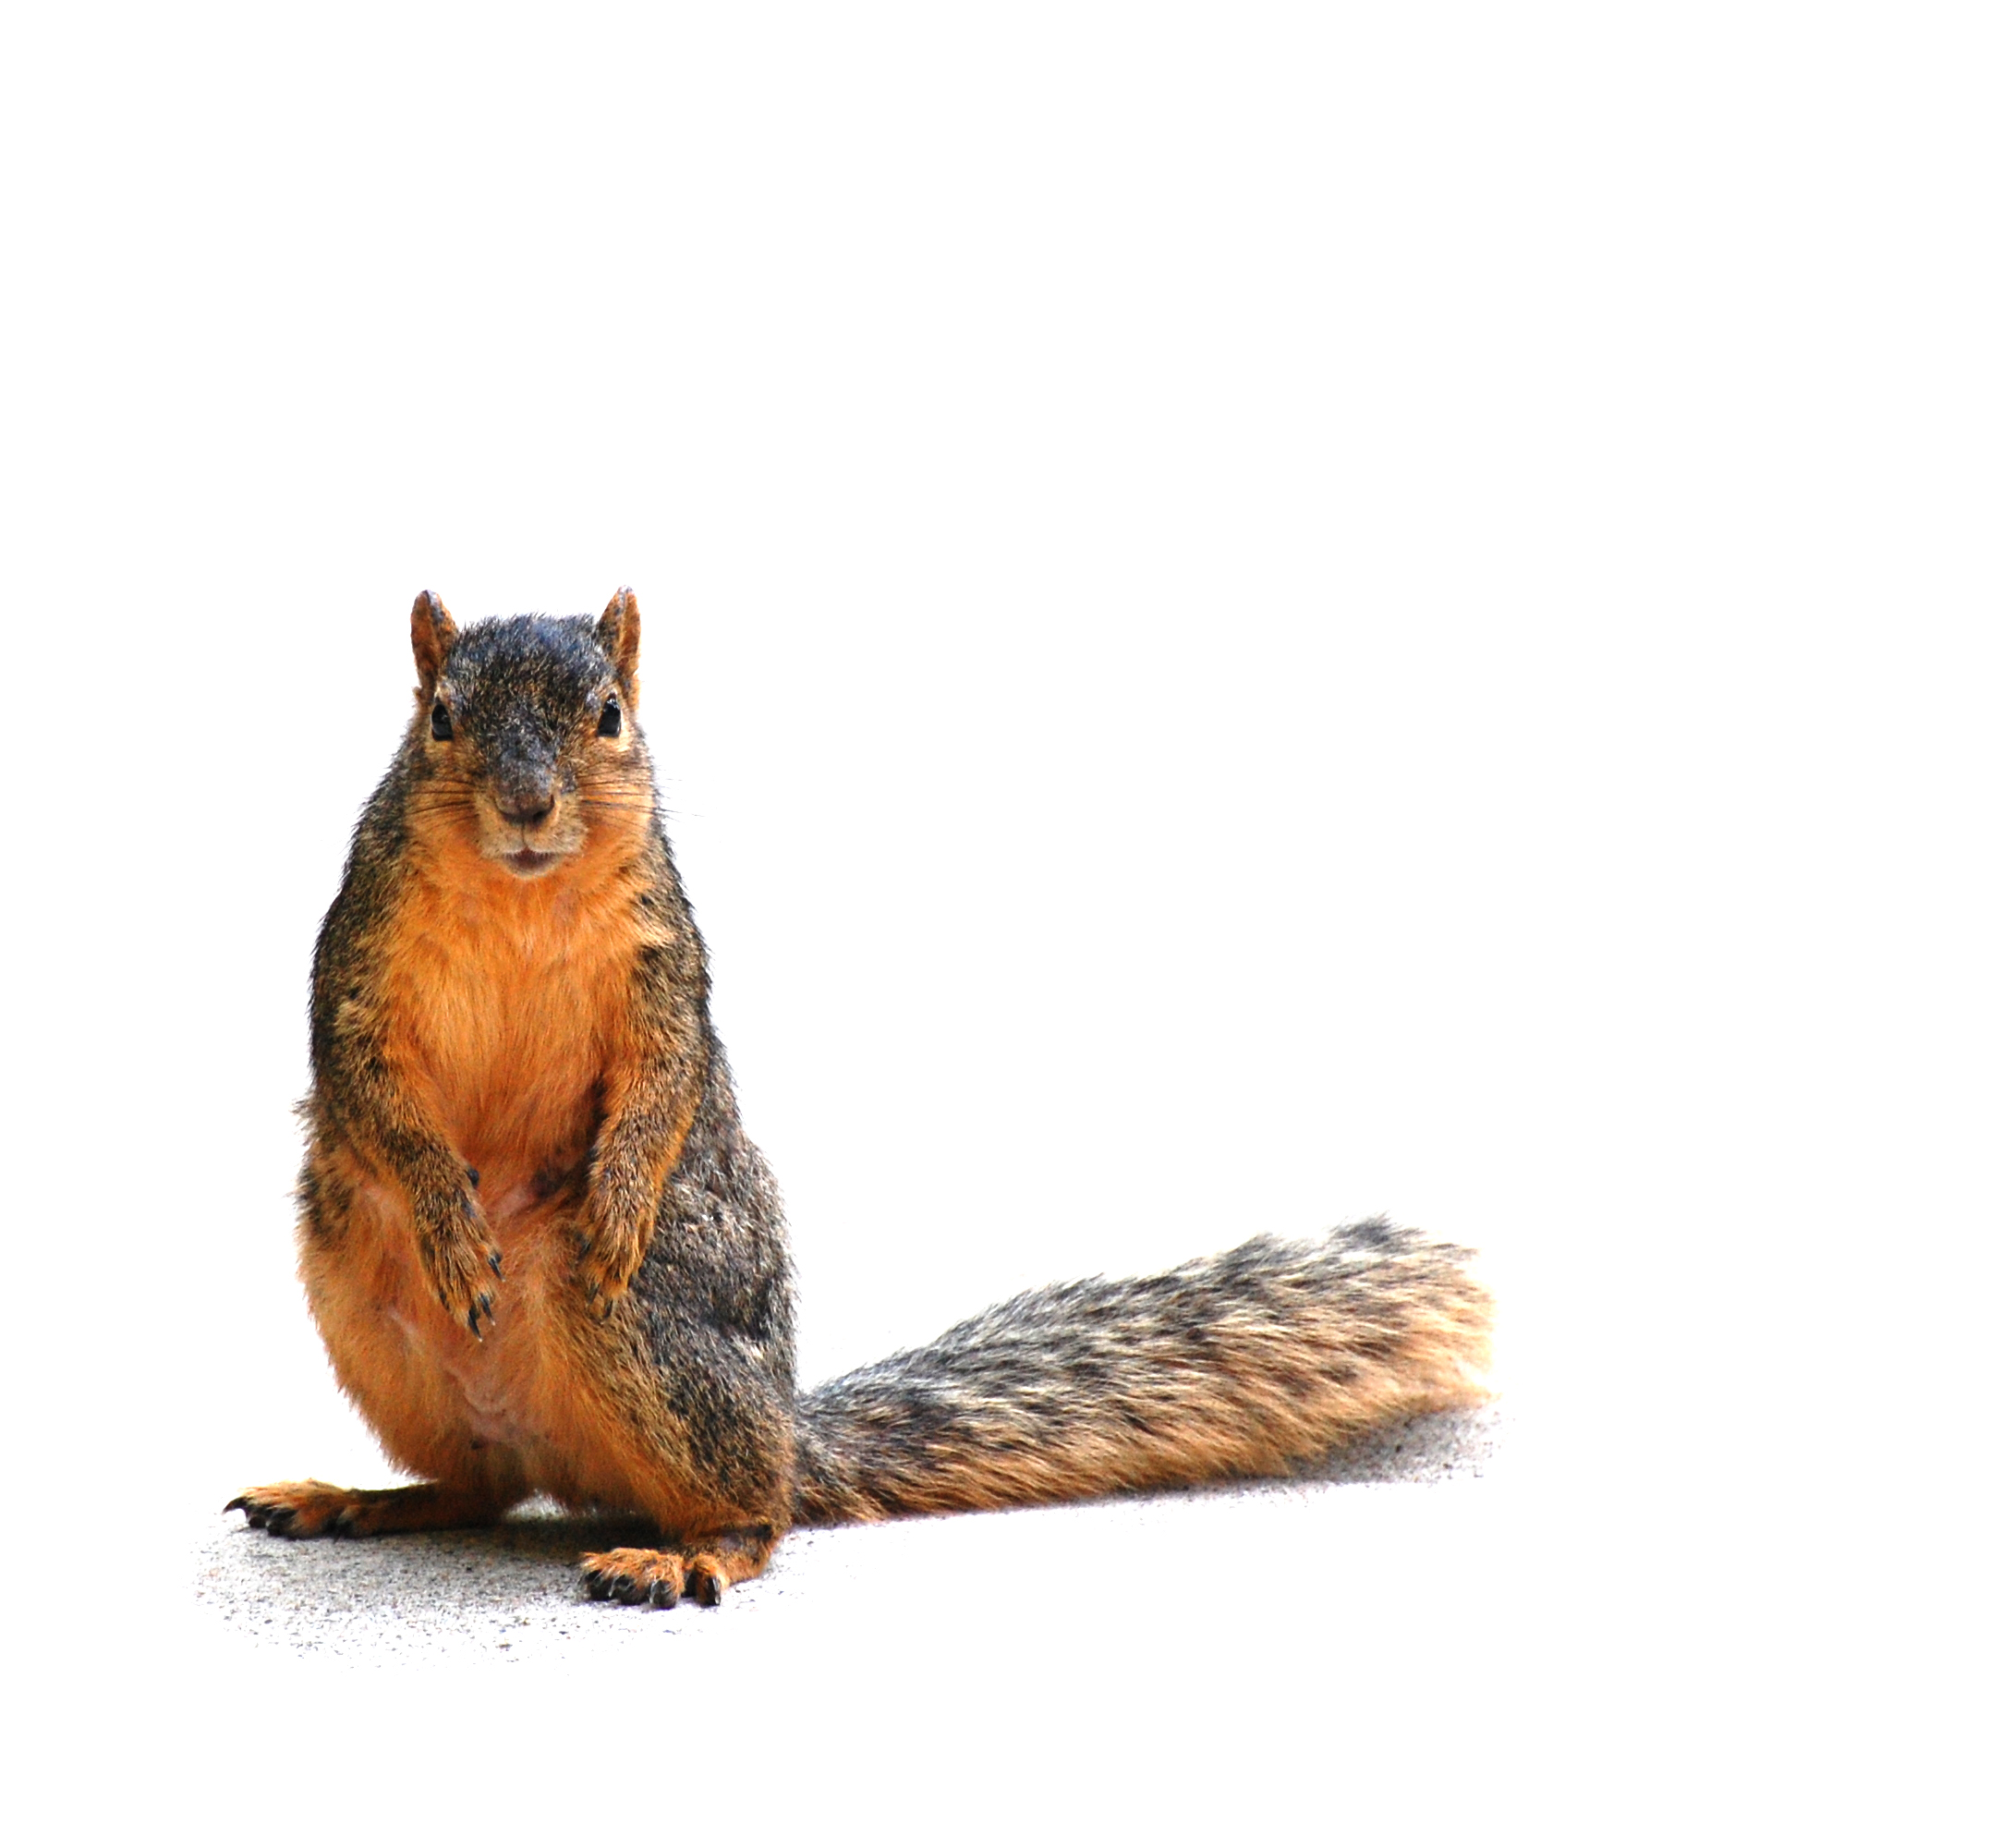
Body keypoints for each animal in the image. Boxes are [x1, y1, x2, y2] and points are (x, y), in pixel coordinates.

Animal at [228, 590, 1495, 1607]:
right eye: (441, 716)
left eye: (609, 714)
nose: (529, 805)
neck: (520, 895)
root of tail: (788, 1429)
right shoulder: (356, 962)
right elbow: (368, 1088)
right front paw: (449, 1217)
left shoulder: (663, 966)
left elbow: (667, 1078)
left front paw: (622, 1193)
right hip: (354, 1289)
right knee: (478, 1487)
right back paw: (359, 1497)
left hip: (641, 1331)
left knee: (754, 1509)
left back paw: (686, 1550)